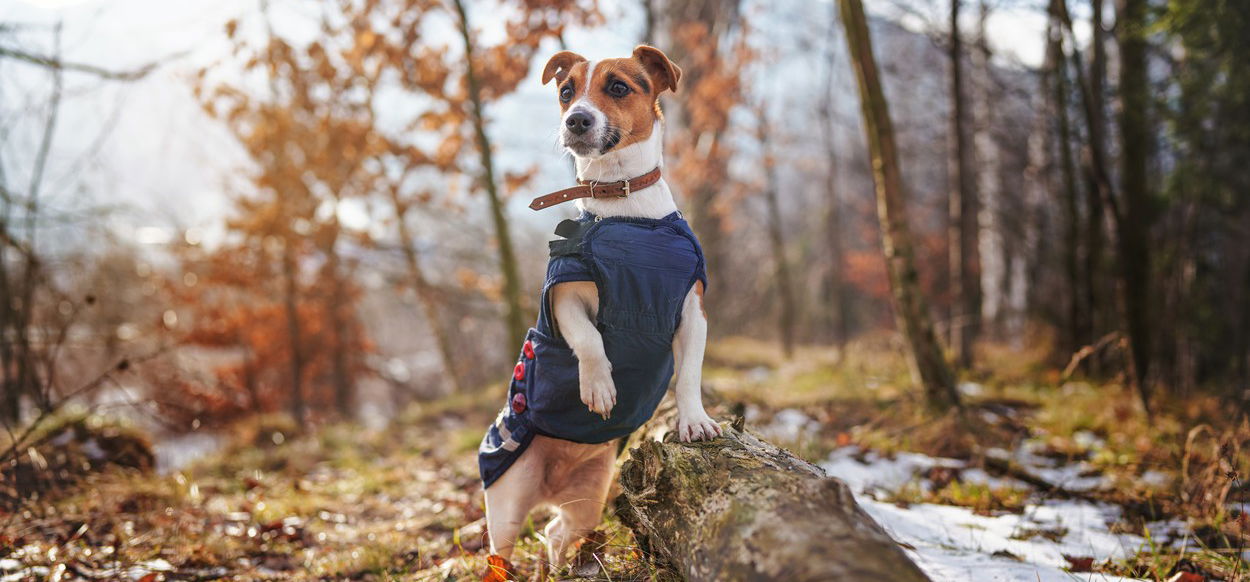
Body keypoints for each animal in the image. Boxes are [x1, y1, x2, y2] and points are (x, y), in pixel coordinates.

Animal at [472, 44, 720, 572]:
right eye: (567, 92)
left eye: (619, 87)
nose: (576, 120)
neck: (626, 206)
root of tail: (550, 483)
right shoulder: (564, 294)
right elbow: (588, 339)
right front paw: (600, 387)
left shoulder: (693, 312)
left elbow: (689, 373)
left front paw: (693, 420)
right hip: (507, 498)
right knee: (500, 551)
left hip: (588, 498)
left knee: (555, 531)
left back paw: (560, 565)